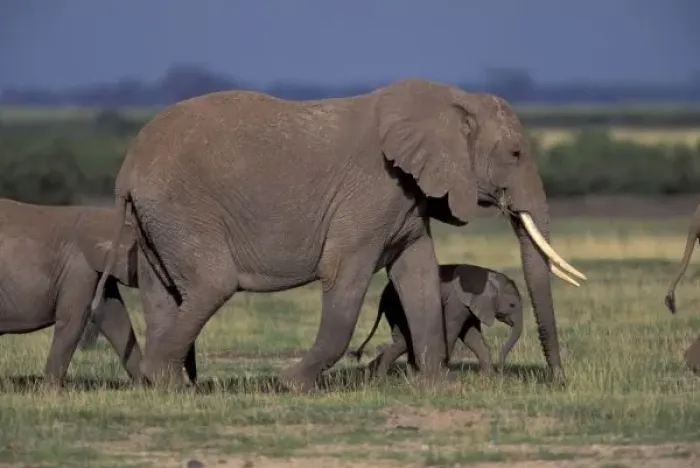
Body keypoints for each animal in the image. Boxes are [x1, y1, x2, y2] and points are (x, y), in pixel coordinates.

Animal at [347, 263, 523, 378]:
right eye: (512, 305)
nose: (501, 370)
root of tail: (383, 294)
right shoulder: (457, 301)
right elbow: (453, 329)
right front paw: (445, 371)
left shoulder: (471, 305)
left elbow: (471, 335)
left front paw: (488, 378)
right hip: (396, 306)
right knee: (405, 339)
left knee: (403, 340)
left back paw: (373, 373)